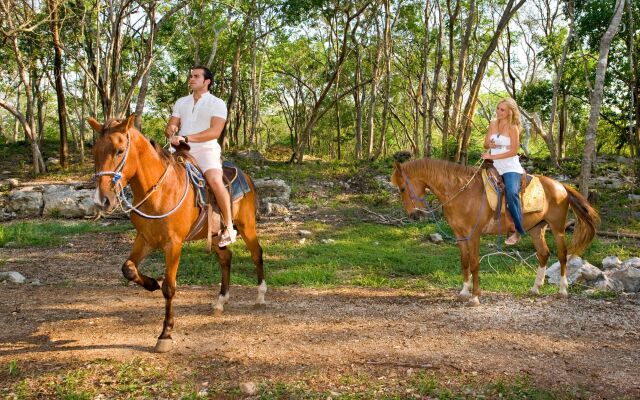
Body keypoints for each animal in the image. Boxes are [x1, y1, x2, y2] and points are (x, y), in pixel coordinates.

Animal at [88, 114, 264, 352]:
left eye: (119, 150)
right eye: (95, 151)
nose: (102, 200)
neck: (159, 192)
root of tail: (245, 174)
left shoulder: (173, 244)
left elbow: (169, 288)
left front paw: (165, 334)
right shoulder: (145, 238)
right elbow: (128, 269)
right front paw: (152, 283)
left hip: (246, 226)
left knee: (256, 253)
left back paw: (261, 296)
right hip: (215, 234)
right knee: (226, 258)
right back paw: (220, 301)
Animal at [390, 158, 600, 304]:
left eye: (402, 188)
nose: (414, 216)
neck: (461, 192)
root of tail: (560, 186)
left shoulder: (474, 235)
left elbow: (474, 263)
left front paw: (475, 297)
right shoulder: (460, 236)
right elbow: (464, 261)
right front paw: (464, 292)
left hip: (557, 228)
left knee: (563, 254)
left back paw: (563, 290)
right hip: (536, 229)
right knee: (543, 254)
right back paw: (535, 288)